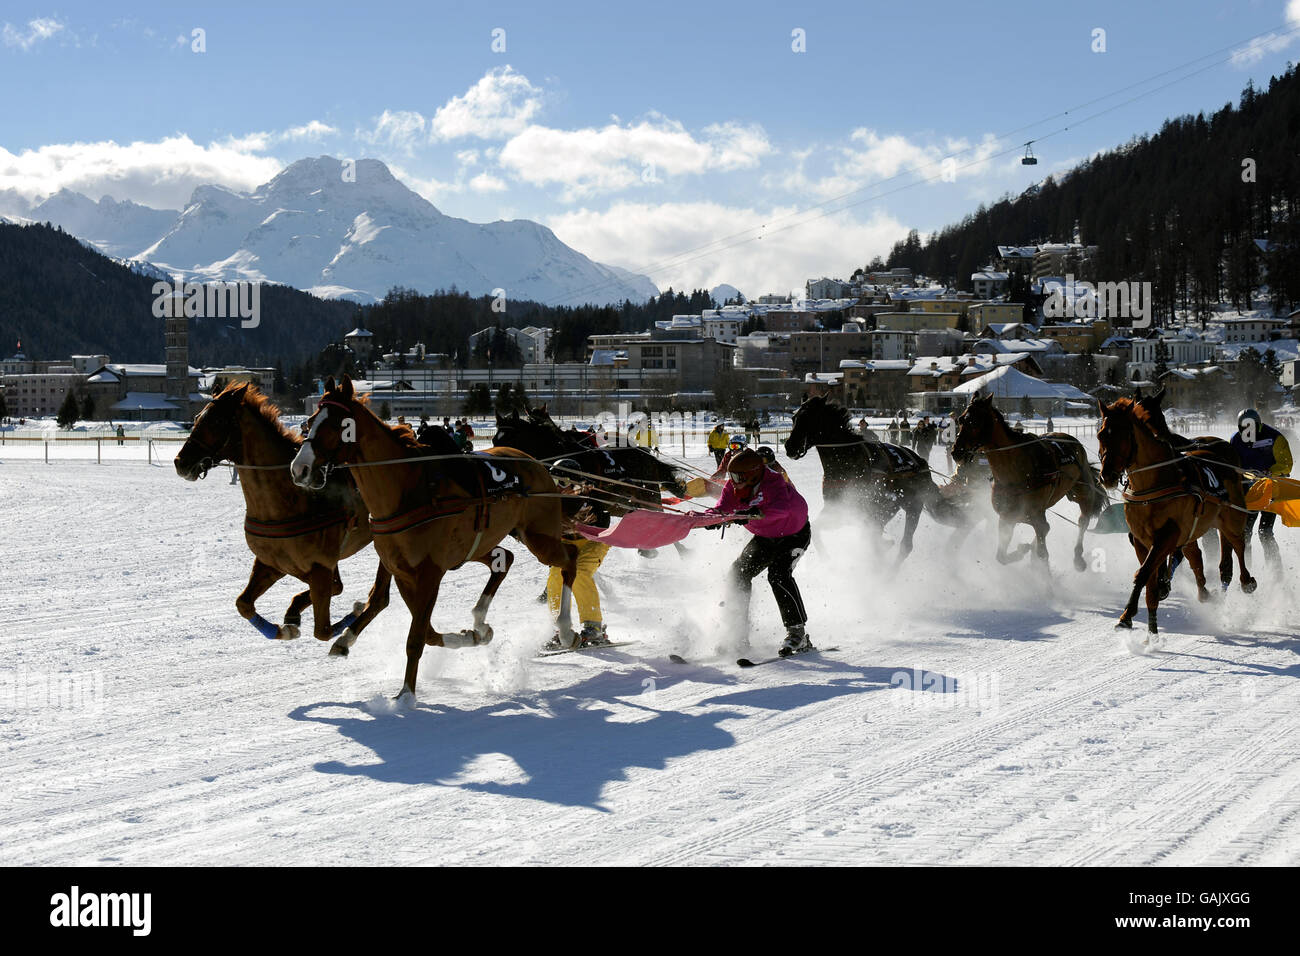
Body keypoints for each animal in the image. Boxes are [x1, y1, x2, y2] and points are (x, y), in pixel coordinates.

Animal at [175, 385, 392, 655]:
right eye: (197, 418)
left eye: (216, 421)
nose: (181, 462)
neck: (292, 498)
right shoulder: (272, 562)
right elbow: (243, 603)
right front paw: (285, 627)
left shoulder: (320, 566)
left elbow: (324, 627)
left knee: (379, 597)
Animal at [295, 374, 579, 702]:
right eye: (310, 421)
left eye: (337, 424)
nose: (299, 468)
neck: (408, 489)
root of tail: (536, 464)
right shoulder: (399, 567)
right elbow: (404, 617)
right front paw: (468, 637)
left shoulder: (430, 571)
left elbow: (416, 636)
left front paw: (406, 693)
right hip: (483, 543)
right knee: (505, 559)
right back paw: (479, 620)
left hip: (539, 536)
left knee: (569, 559)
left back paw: (566, 629)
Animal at [780, 392, 967, 564]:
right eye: (794, 417)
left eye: (808, 417)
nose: (790, 447)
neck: (847, 461)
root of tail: (922, 464)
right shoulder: (839, 508)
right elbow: (817, 528)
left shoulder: (868, 510)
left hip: (913, 505)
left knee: (905, 545)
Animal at [946, 395, 1107, 572]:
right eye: (961, 420)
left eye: (975, 422)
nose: (956, 452)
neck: (1014, 474)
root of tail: (1072, 441)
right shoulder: (1006, 516)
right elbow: (1001, 557)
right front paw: (1023, 549)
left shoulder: (1035, 515)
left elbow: (1042, 548)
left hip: (1083, 492)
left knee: (1082, 520)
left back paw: (1078, 557)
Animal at [1092, 395, 1253, 634]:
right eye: (1101, 434)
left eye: (1124, 434)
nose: (1107, 476)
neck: (1153, 483)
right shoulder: (1142, 539)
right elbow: (1147, 574)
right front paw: (1135, 613)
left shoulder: (1168, 534)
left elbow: (1143, 573)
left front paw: (1128, 615)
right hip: (1195, 529)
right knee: (1196, 556)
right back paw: (1204, 592)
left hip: (1231, 517)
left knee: (1238, 544)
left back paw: (1246, 580)